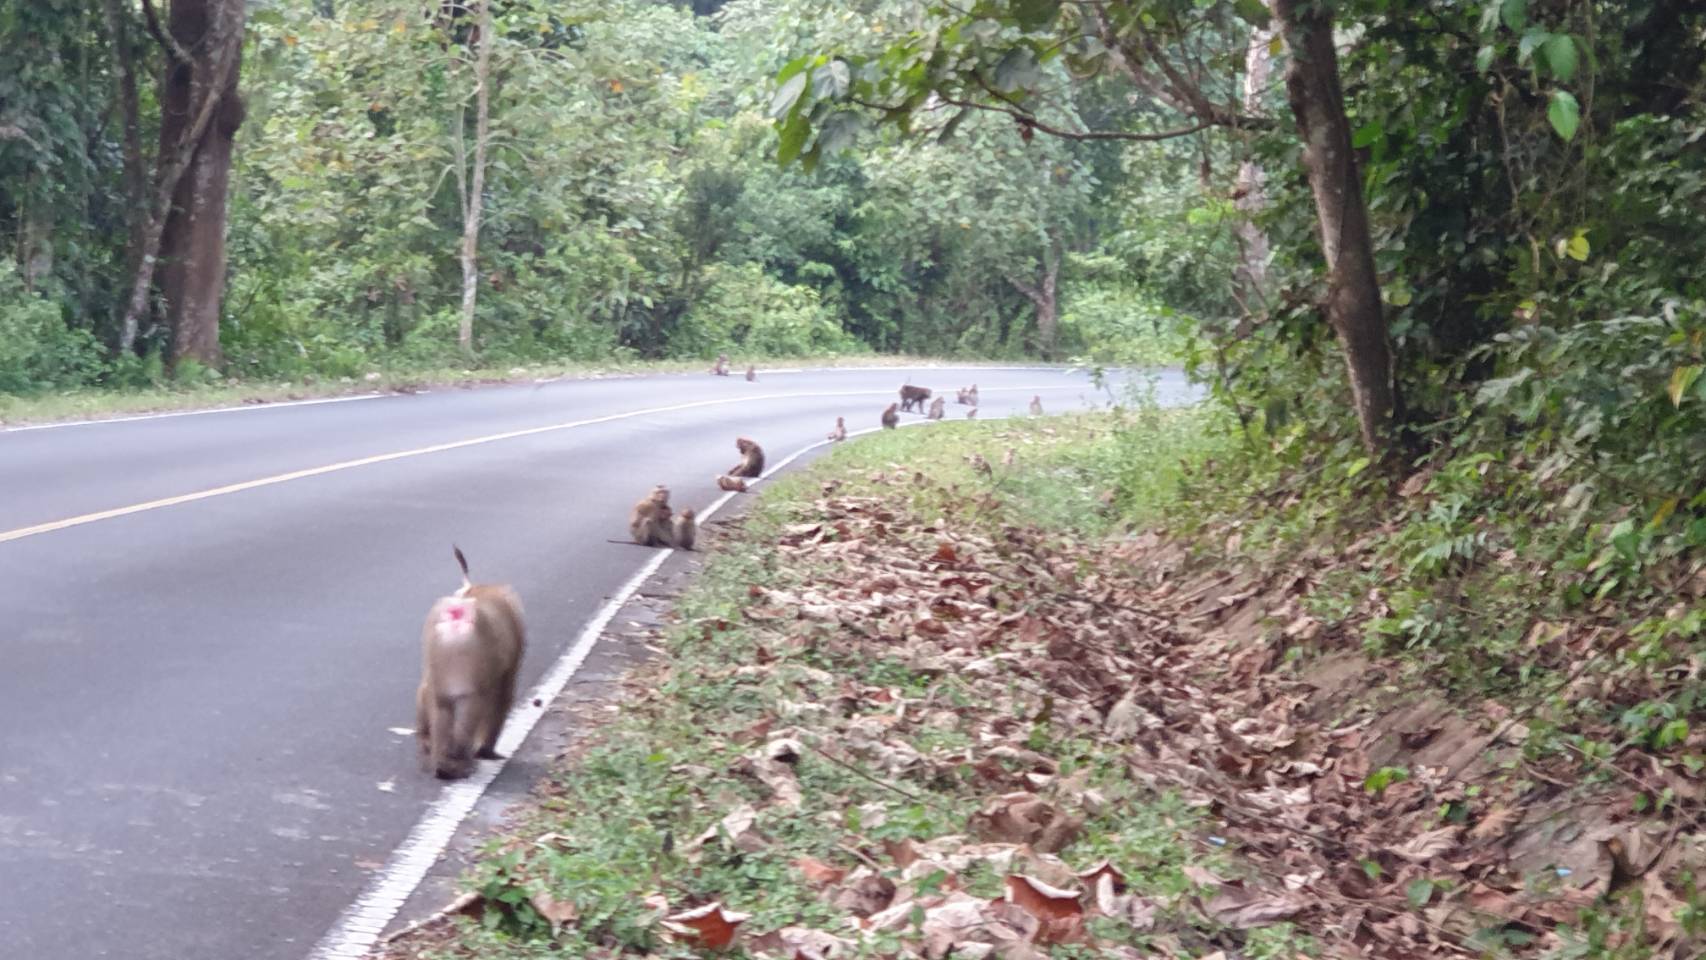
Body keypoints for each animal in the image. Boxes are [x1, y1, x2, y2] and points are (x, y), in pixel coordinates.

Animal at [416, 549, 522, 780]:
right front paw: (486, 751)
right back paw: (458, 761)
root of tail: (458, 608)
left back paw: (442, 760)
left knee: (440, 703)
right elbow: (503, 697)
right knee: (472, 704)